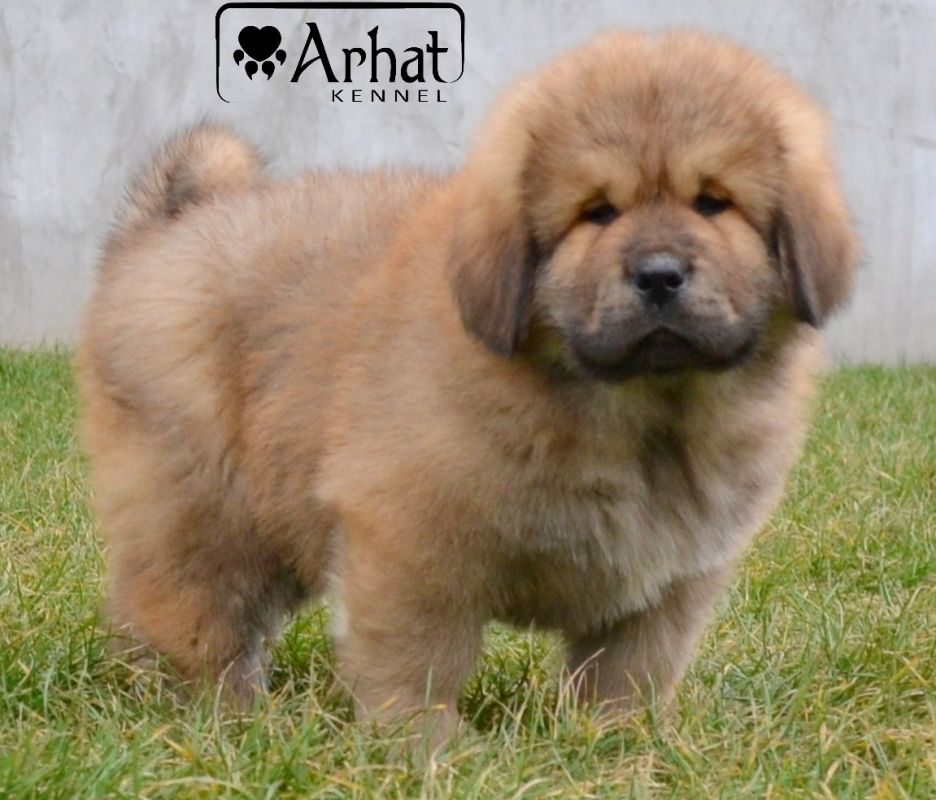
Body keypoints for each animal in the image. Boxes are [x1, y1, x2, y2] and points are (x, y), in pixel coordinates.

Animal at [78, 29, 858, 739]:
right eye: (597, 213)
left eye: (713, 204)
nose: (659, 274)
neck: (641, 418)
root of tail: (167, 231)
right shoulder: (409, 536)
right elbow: (419, 656)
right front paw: (428, 749)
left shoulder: (670, 579)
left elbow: (629, 671)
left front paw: (622, 746)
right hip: (207, 505)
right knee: (188, 611)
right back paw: (225, 717)